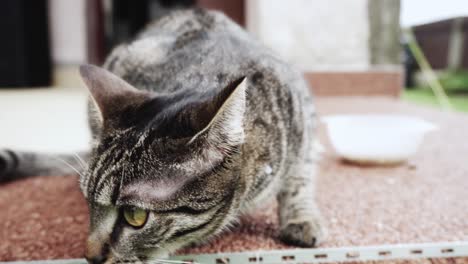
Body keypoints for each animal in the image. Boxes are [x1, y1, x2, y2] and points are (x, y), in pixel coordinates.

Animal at [0, 8, 324, 264]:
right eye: (88, 202)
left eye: (135, 215)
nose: (90, 257)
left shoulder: (302, 112)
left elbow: (299, 179)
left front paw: (302, 218)